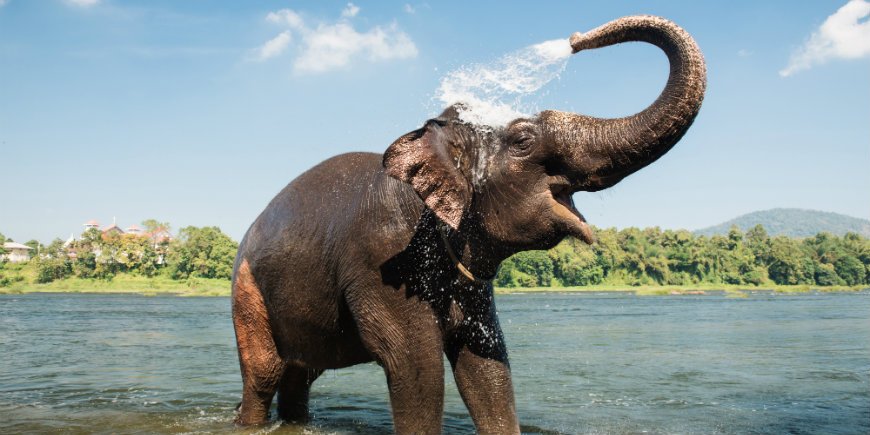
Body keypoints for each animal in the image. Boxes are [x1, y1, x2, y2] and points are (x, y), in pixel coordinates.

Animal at [231, 15, 706, 434]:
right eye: (523, 140)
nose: (574, 38)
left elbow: (486, 364)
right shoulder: (381, 259)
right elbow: (415, 365)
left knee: (301, 373)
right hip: (246, 291)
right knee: (265, 374)